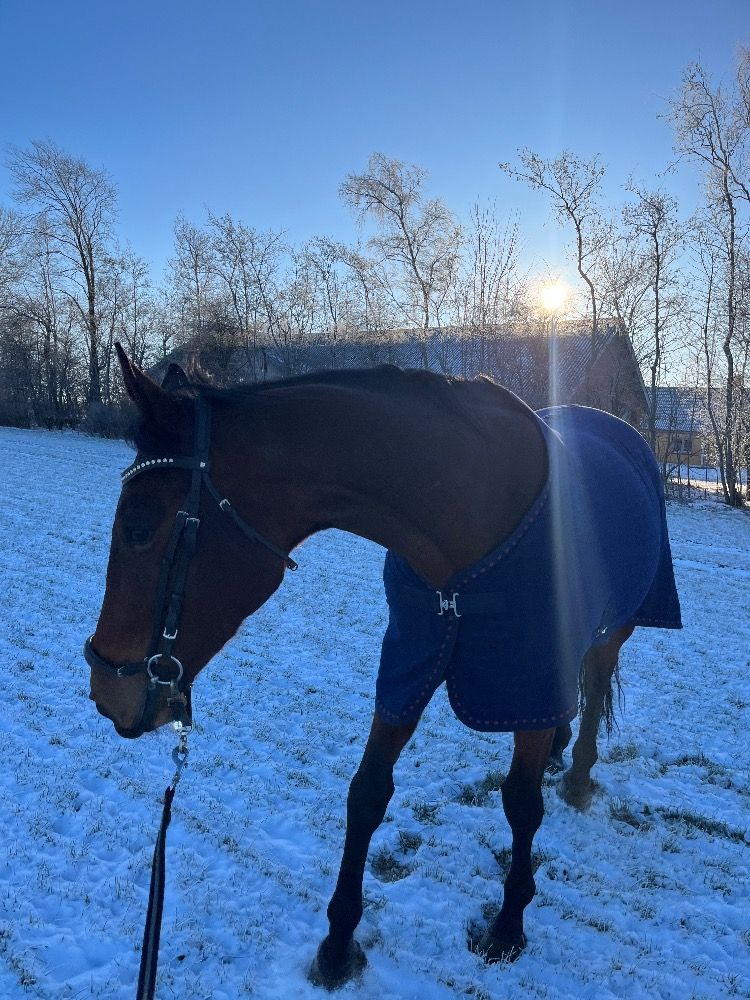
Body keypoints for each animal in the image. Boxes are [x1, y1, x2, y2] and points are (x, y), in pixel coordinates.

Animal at [86, 344, 682, 989]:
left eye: (139, 528)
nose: (104, 690)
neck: (470, 517)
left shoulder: (523, 676)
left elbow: (522, 804)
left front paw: (508, 926)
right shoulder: (408, 664)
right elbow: (368, 792)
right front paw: (338, 941)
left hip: (612, 628)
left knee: (593, 685)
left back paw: (577, 773)